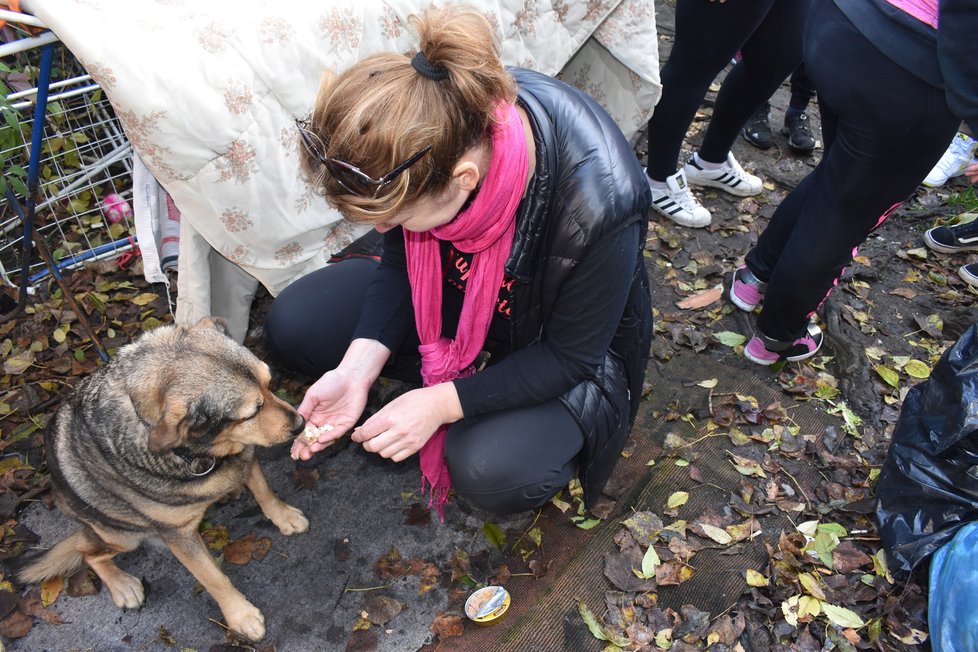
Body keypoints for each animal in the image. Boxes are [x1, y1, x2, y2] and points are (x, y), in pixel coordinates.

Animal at [20, 318, 308, 640]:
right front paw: (240, 615)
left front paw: (283, 516)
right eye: (251, 412)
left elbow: (263, 490)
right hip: (121, 535)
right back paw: (122, 585)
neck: (197, 453)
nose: (301, 424)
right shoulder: (178, 536)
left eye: (270, 384)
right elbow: (212, 577)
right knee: (87, 552)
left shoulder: (243, 454)